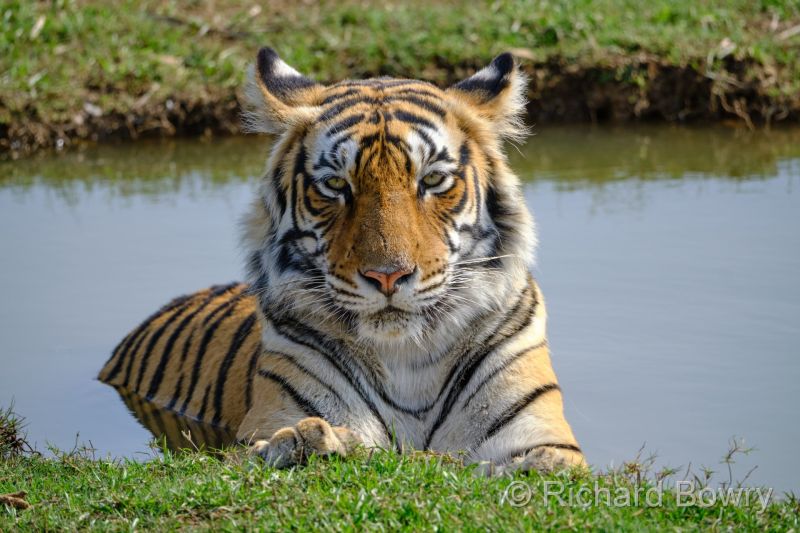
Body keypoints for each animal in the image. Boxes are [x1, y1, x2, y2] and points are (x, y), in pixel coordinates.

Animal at [99, 47, 583, 474]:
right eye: (335, 185)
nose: (388, 276)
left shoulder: (537, 435)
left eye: (432, 180)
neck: (407, 357)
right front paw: (309, 442)